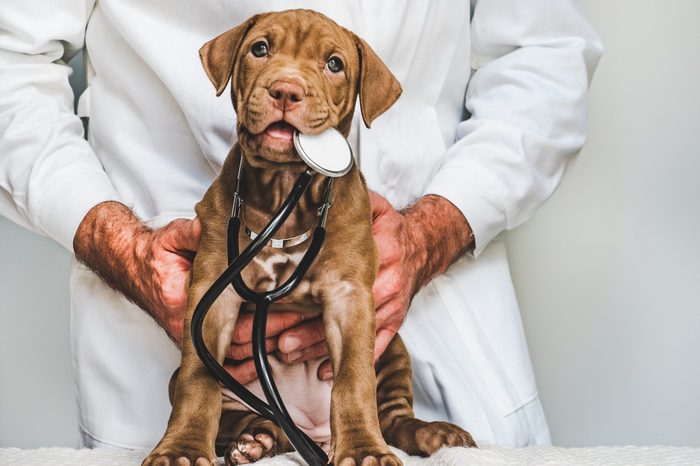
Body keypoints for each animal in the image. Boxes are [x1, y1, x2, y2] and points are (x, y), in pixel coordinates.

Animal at [143, 10, 476, 466]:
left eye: (334, 64)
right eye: (260, 48)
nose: (286, 90)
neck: (285, 190)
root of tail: (310, 432)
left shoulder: (350, 296)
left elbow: (353, 378)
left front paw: (364, 449)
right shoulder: (212, 293)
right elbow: (199, 377)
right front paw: (182, 449)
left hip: (392, 347)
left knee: (394, 418)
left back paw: (435, 433)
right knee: (244, 416)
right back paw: (256, 438)